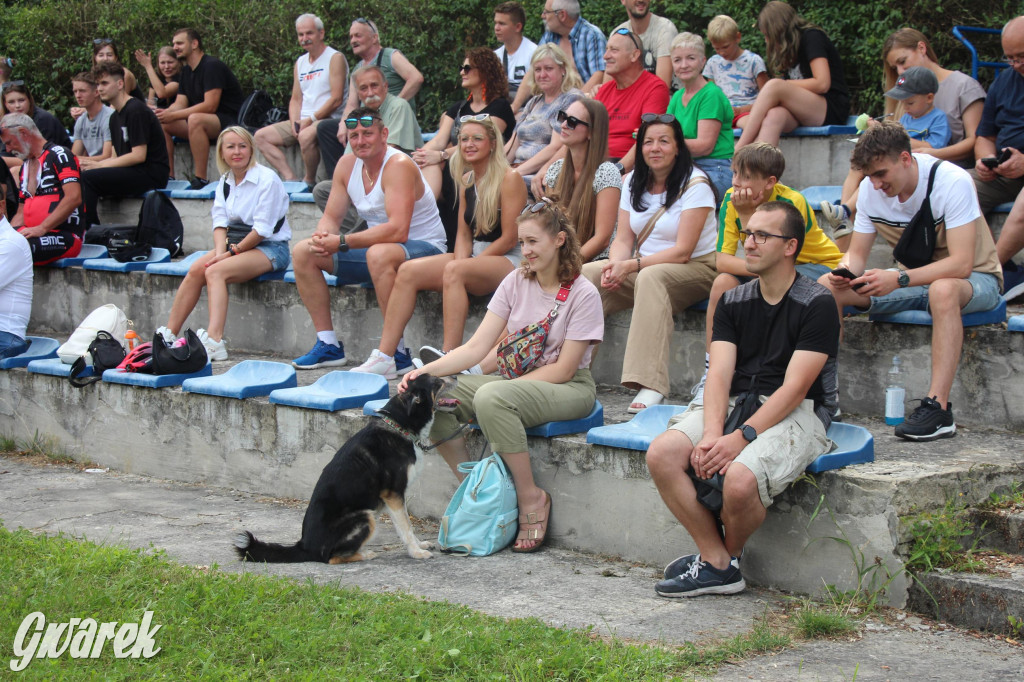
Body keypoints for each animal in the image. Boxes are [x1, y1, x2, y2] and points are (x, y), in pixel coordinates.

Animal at [234, 372, 458, 561]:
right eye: (437, 381)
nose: (457, 375)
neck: (400, 426)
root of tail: (304, 547)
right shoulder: (393, 494)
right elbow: (406, 527)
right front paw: (416, 552)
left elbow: (407, 525)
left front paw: (420, 545)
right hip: (365, 516)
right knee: (331, 557)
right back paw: (366, 554)